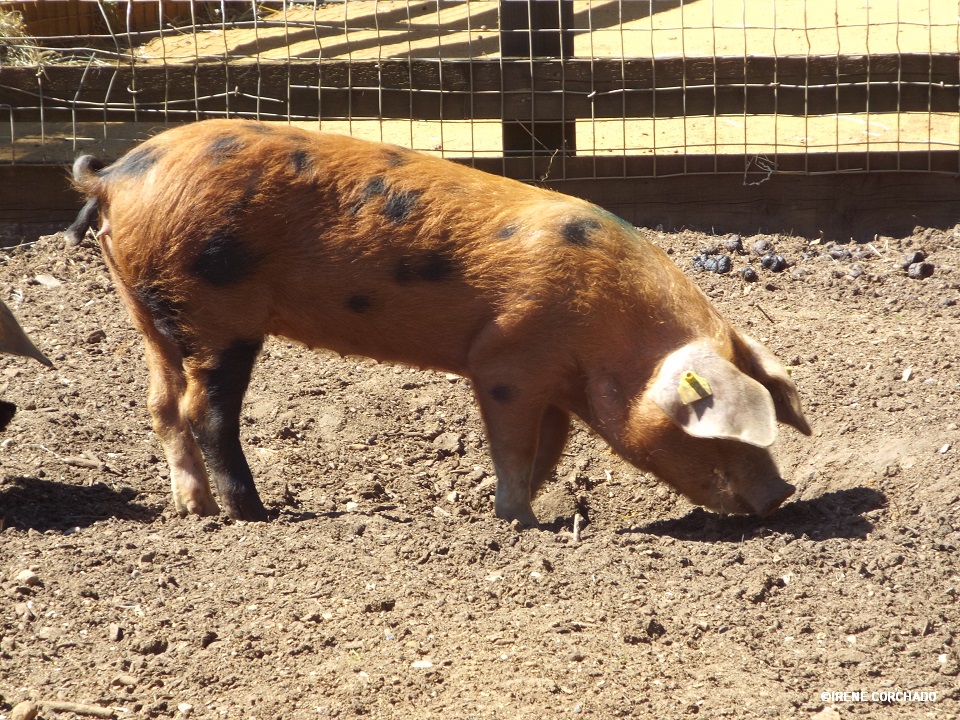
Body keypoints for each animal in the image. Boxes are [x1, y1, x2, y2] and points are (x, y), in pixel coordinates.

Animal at [67, 118, 812, 524]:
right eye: (721, 431)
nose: (783, 493)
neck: (610, 337)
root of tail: (114, 176)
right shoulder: (505, 362)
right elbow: (512, 444)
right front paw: (521, 520)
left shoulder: (550, 385)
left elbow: (547, 449)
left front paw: (525, 510)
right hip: (218, 312)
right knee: (205, 410)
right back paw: (259, 511)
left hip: (148, 306)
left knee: (160, 404)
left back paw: (194, 509)